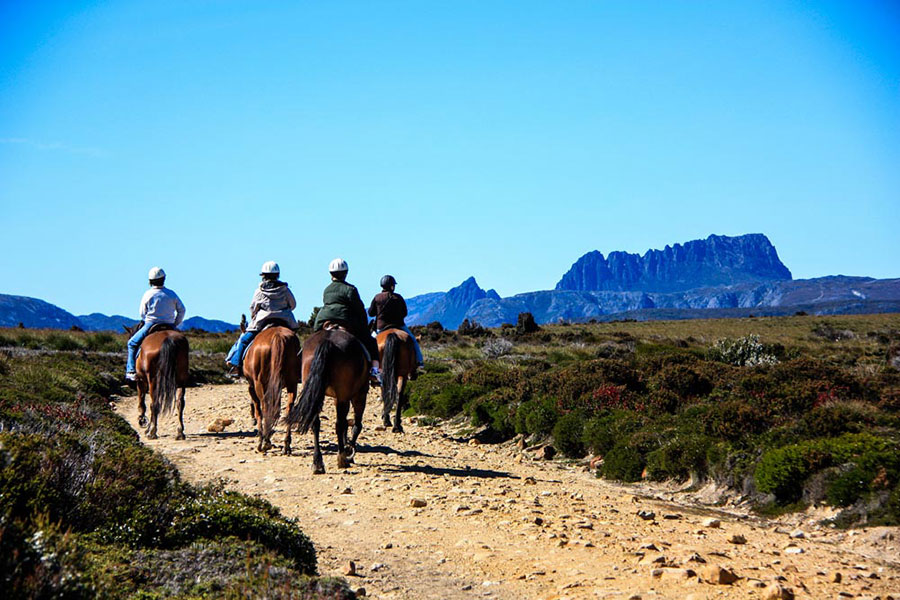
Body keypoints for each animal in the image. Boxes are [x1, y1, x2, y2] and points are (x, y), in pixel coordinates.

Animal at [240, 321, 301, 454]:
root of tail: (278, 336)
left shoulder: (251, 387)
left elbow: (258, 409)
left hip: (260, 384)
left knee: (264, 407)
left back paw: (264, 442)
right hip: (292, 383)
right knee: (288, 408)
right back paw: (286, 444)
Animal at [287, 326, 370, 474]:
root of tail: (328, 342)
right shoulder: (359, 395)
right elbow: (356, 426)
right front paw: (349, 451)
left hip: (315, 392)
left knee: (316, 423)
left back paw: (317, 462)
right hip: (345, 395)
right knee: (339, 424)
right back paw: (342, 458)